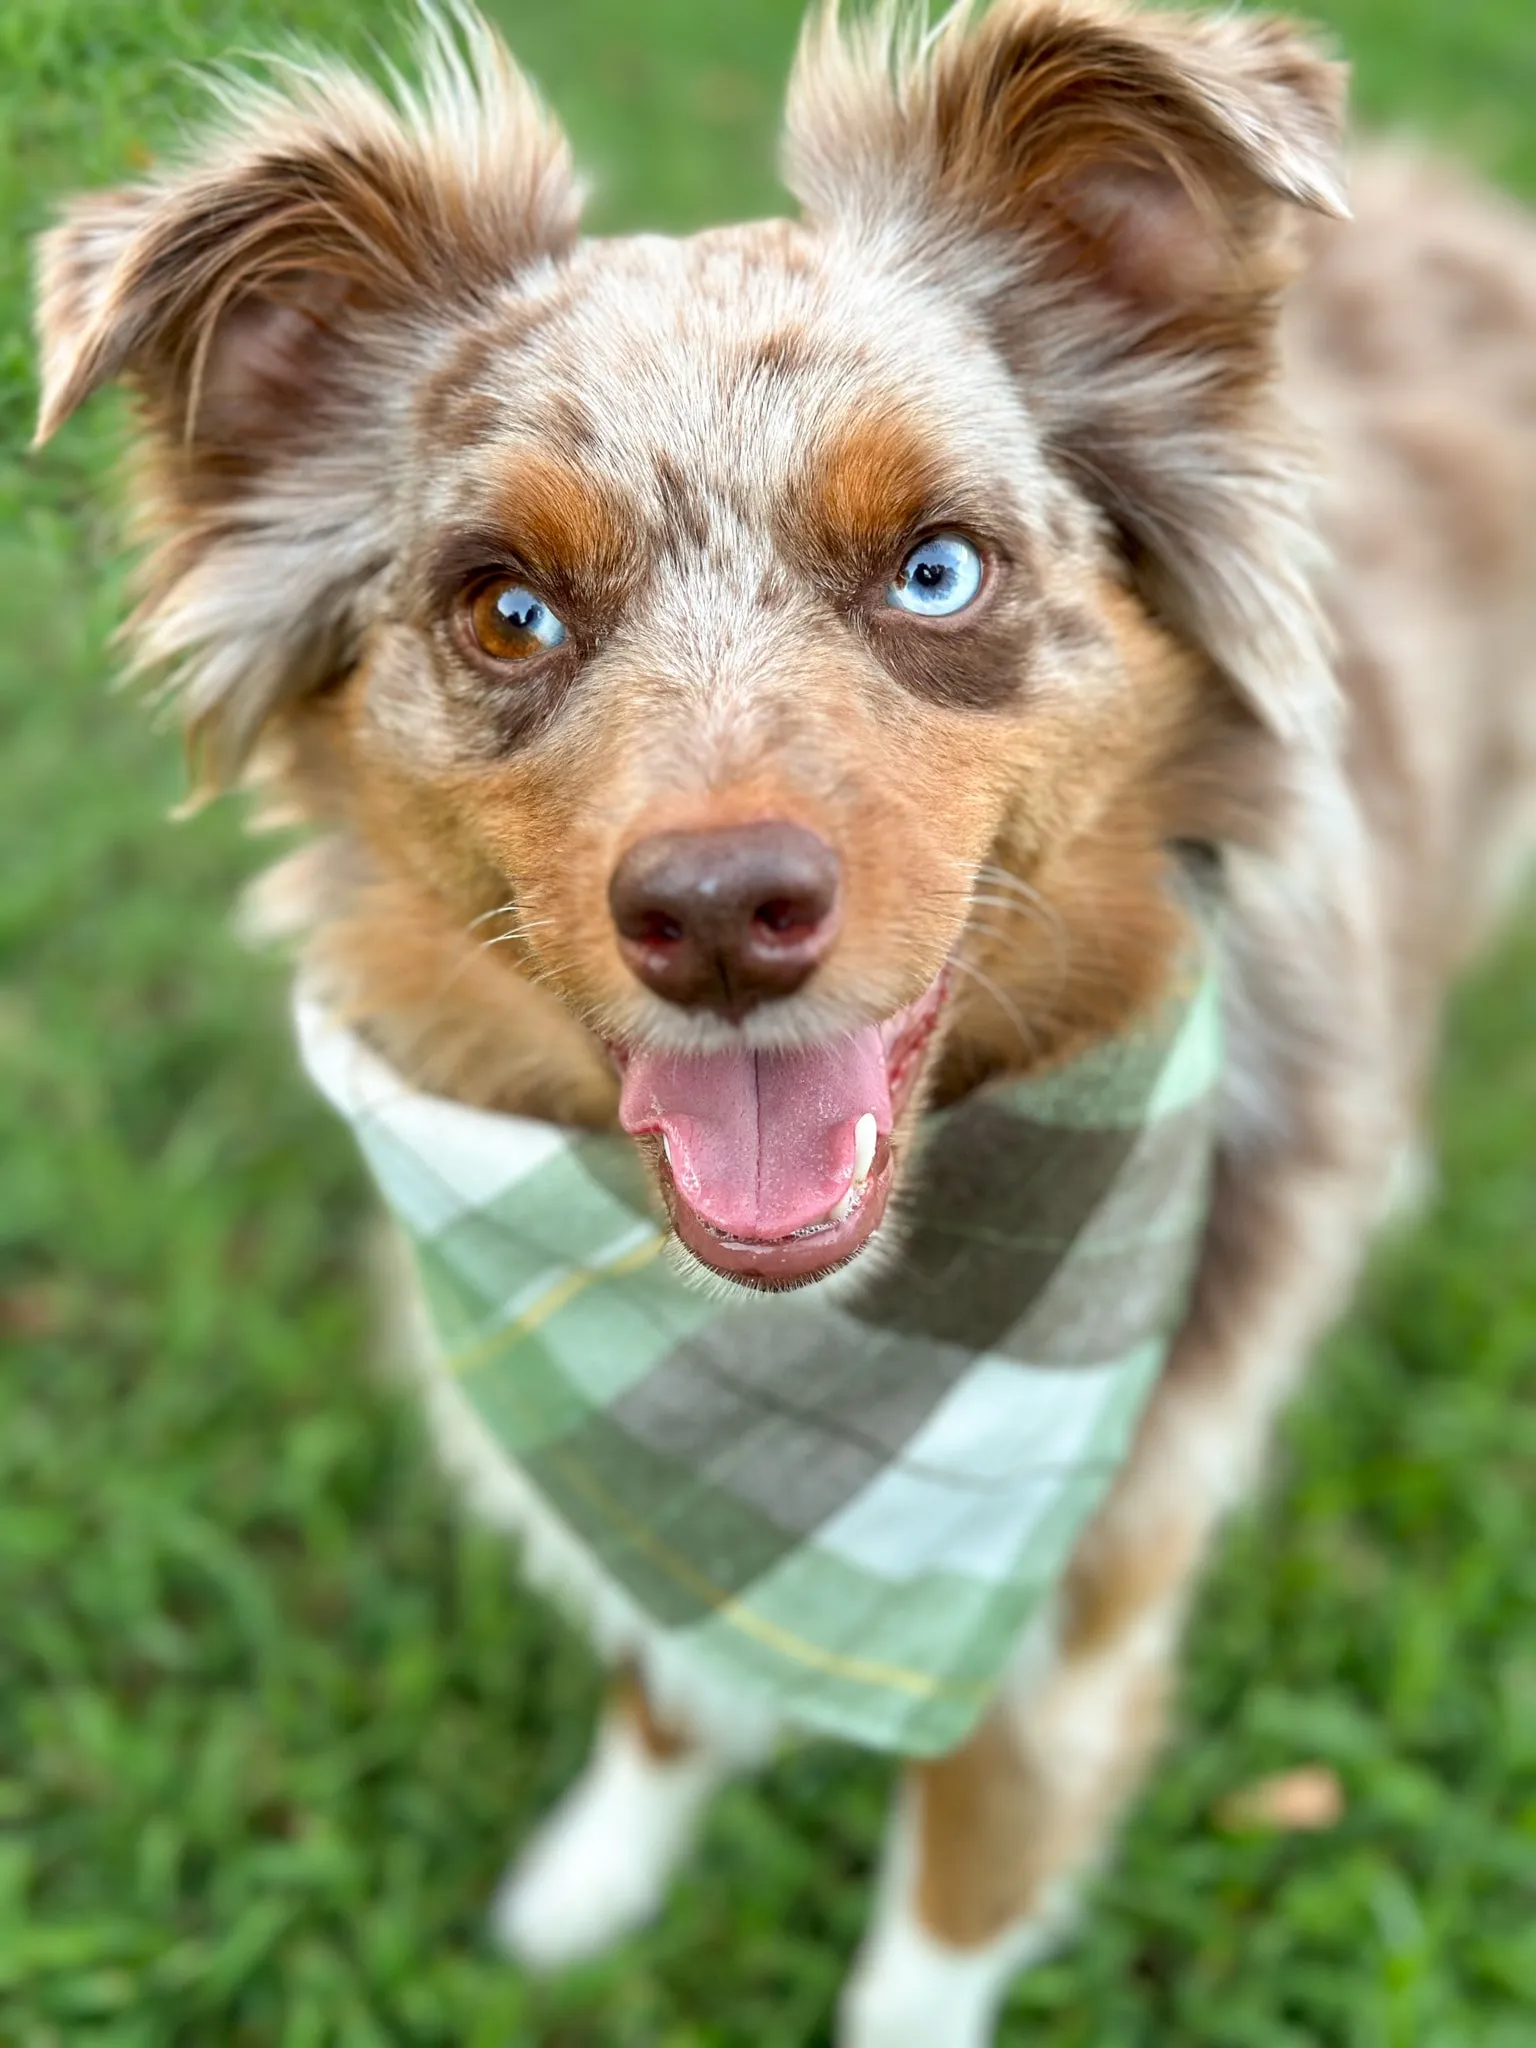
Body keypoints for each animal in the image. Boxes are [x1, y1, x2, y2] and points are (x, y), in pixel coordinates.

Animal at [33, 0, 1536, 2039]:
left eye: (938, 568)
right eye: (504, 609)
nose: (718, 918)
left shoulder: (1081, 1599)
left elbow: (954, 1893)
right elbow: (662, 1685)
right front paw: (586, 1890)